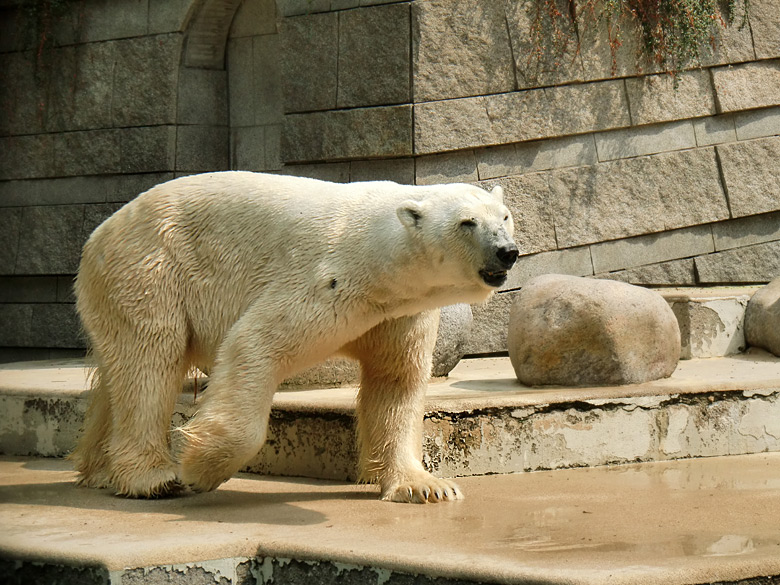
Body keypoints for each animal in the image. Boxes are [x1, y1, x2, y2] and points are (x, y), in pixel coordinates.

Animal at [70, 170, 516, 502]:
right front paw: (200, 467)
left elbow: (396, 380)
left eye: (505, 216)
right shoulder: (326, 281)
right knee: (150, 362)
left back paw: (101, 470)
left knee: (123, 372)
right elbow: (253, 344)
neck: (380, 255)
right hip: (150, 269)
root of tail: (99, 234)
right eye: (467, 222)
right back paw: (153, 479)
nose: (507, 251)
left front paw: (426, 486)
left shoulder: (399, 312)